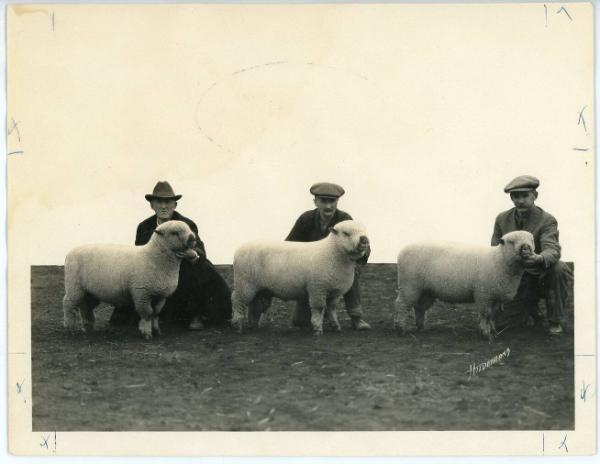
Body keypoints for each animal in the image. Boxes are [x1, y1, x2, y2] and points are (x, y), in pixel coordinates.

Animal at [63, 219, 199, 338]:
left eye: (189, 228)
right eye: (174, 232)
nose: (193, 238)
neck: (153, 258)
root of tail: (70, 252)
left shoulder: (160, 295)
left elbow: (155, 313)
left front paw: (156, 330)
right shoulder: (142, 293)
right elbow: (147, 313)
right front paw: (146, 332)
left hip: (88, 291)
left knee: (85, 305)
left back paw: (88, 325)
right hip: (74, 284)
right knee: (68, 303)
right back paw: (71, 328)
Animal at [231, 219, 368, 336]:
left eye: (365, 231)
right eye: (346, 233)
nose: (364, 239)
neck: (331, 252)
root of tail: (237, 251)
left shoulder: (334, 292)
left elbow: (332, 309)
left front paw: (336, 326)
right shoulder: (317, 288)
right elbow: (319, 308)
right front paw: (317, 329)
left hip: (259, 289)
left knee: (254, 305)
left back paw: (253, 325)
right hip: (244, 284)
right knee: (237, 301)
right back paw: (238, 325)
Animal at [394, 229, 536, 340]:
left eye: (532, 240)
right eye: (511, 242)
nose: (526, 248)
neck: (500, 260)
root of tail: (402, 250)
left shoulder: (494, 296)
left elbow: (492, 315)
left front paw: (493, 331)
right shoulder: (484, 294)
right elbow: (486, 314)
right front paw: (486, 334)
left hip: (426, 291)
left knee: (419, 308)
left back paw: (421, 327)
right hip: (409, 286)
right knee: (402, 305)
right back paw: (400, 328)